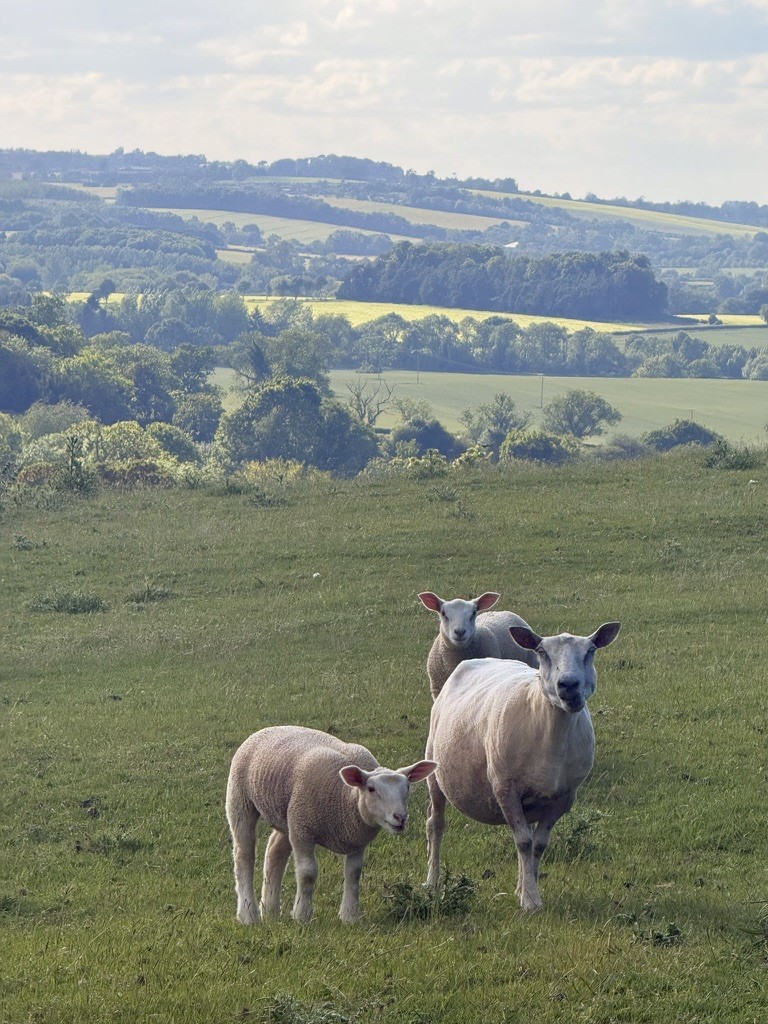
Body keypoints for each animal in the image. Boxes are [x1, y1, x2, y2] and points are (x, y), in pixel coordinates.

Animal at [226, 725, 437, 924]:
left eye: (407, 787)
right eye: (371, 789)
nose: (400, 817)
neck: (347, 796)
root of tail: (270, 728)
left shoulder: (356, 840)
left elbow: (354, 873)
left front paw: (350, 916)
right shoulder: (303, 831)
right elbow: (308, 873)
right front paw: (302, 916)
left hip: (287, 815)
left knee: (275, 851)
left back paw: (270, 912)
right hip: (241, 800)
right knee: (244, 856)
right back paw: (249, 915)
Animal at [425, 620, 621, 911]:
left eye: (591, 650)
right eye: (541, 651)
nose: (568, 685)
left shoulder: (564, 797)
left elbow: (537, 845)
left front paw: (529, 891)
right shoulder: (505, 787)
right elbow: (524, 842)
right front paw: (529, 901)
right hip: (435, 771)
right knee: (436, 824)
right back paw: (432, 882)